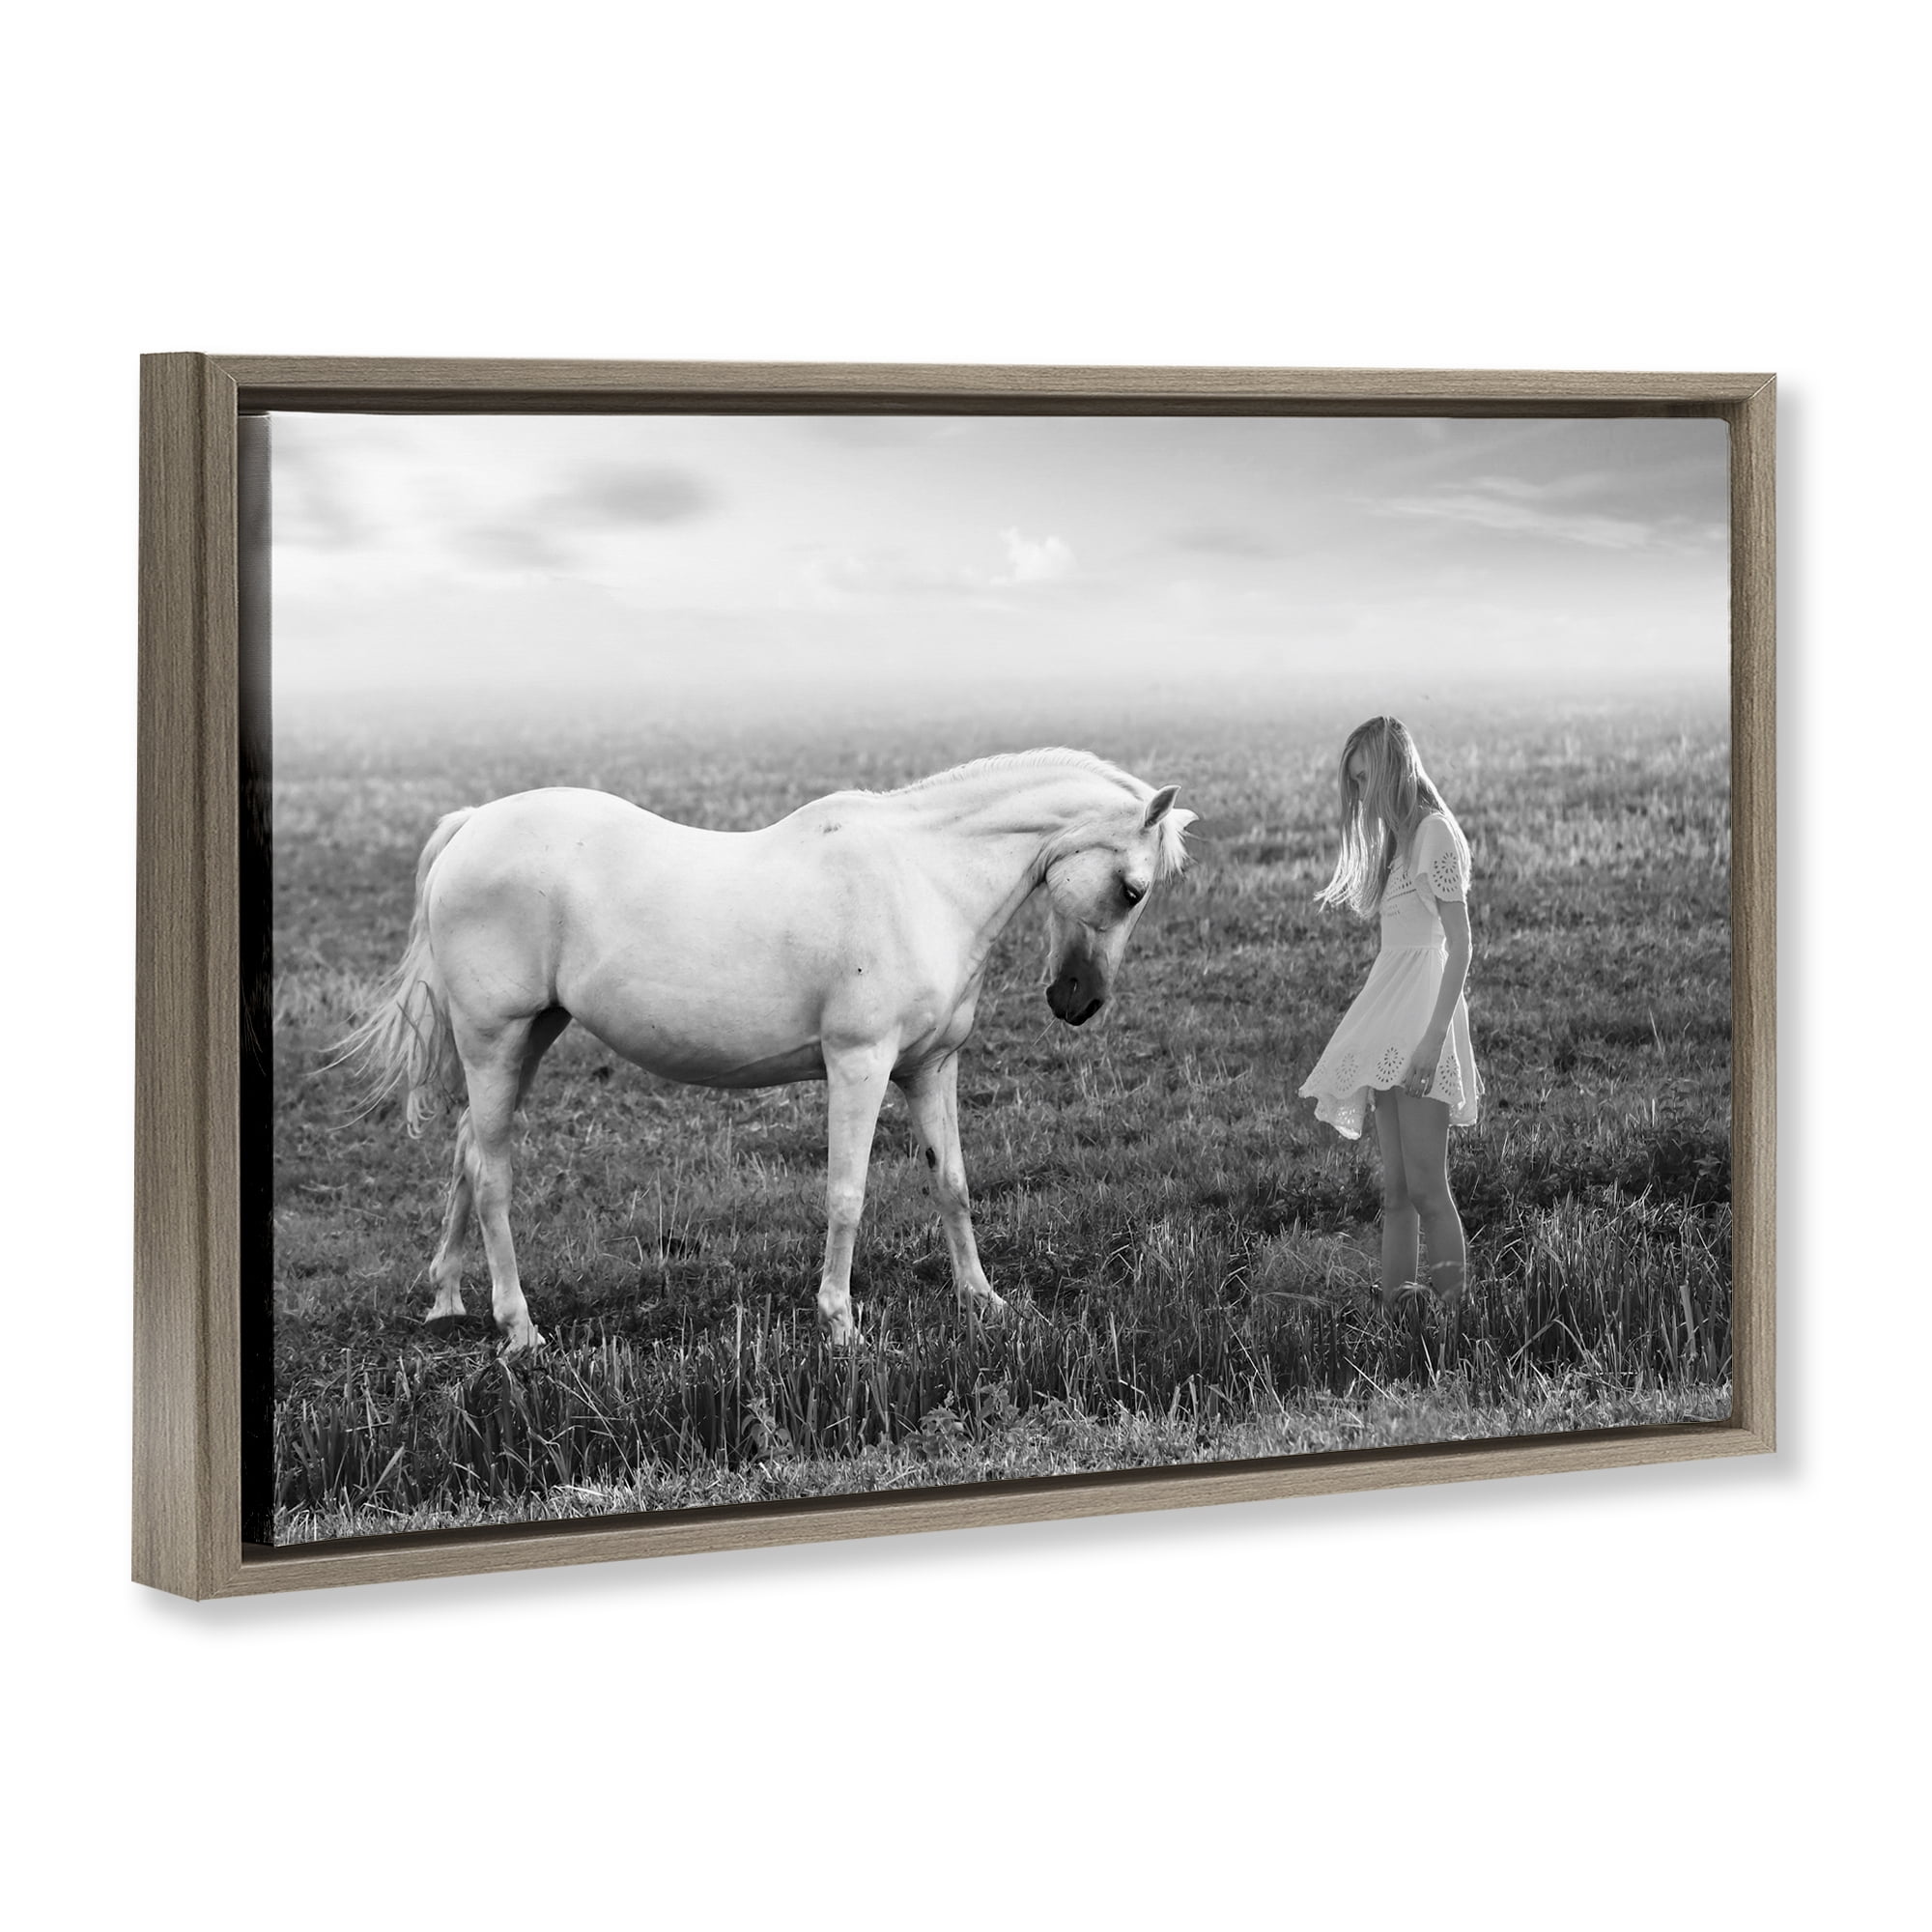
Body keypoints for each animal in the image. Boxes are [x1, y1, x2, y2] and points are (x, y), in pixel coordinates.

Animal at [340, 748, 1195, 1354]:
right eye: (1132, 889)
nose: (1077, 1002)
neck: (923, 879)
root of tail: (473, 825)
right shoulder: (859, 1064)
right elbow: (847, 1195)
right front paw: (841, 1325)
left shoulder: (930, 1069)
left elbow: (951, 1184)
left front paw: (984, 1302)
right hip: (494, 1039)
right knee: (492, 1177)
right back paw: (519, 1330)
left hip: (530, 1037)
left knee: (467, 1153)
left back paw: (448, 1298)